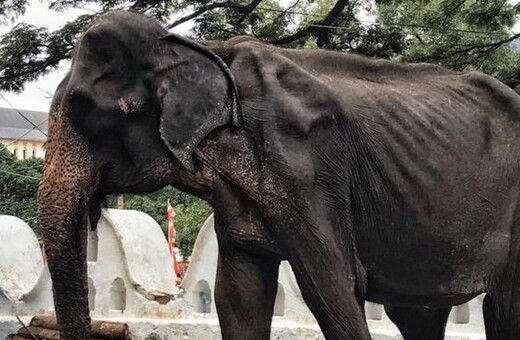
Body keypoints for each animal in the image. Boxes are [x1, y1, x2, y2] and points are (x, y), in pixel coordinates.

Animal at [37, 9, 520, 338]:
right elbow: (237, 296)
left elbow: (333, 288)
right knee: (419, 315)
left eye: (81, 109)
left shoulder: (307, 169)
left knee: (502, 311)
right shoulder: (237, 198)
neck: (202, 48)